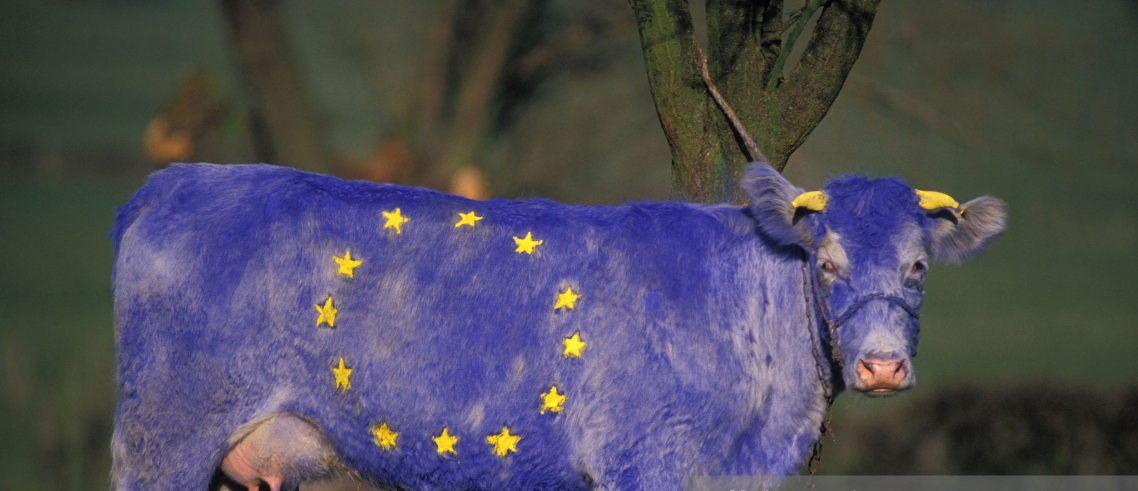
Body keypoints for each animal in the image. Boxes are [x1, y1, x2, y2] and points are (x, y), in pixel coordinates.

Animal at [110, 162, 1006, 491]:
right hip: (163, 437)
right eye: (827, 264)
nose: (882, 367)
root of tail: (179, 179)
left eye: (918, 266)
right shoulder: (643, 462)